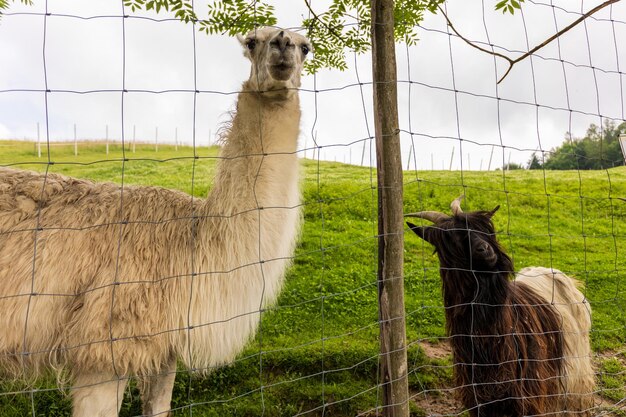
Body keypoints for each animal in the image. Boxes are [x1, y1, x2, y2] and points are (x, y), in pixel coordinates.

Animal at [404, 196, 588, 416]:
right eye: (452, 240)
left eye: (484, 228)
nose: (485, 250)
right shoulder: (479, 400)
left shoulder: (527, 398)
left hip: (573, 379)